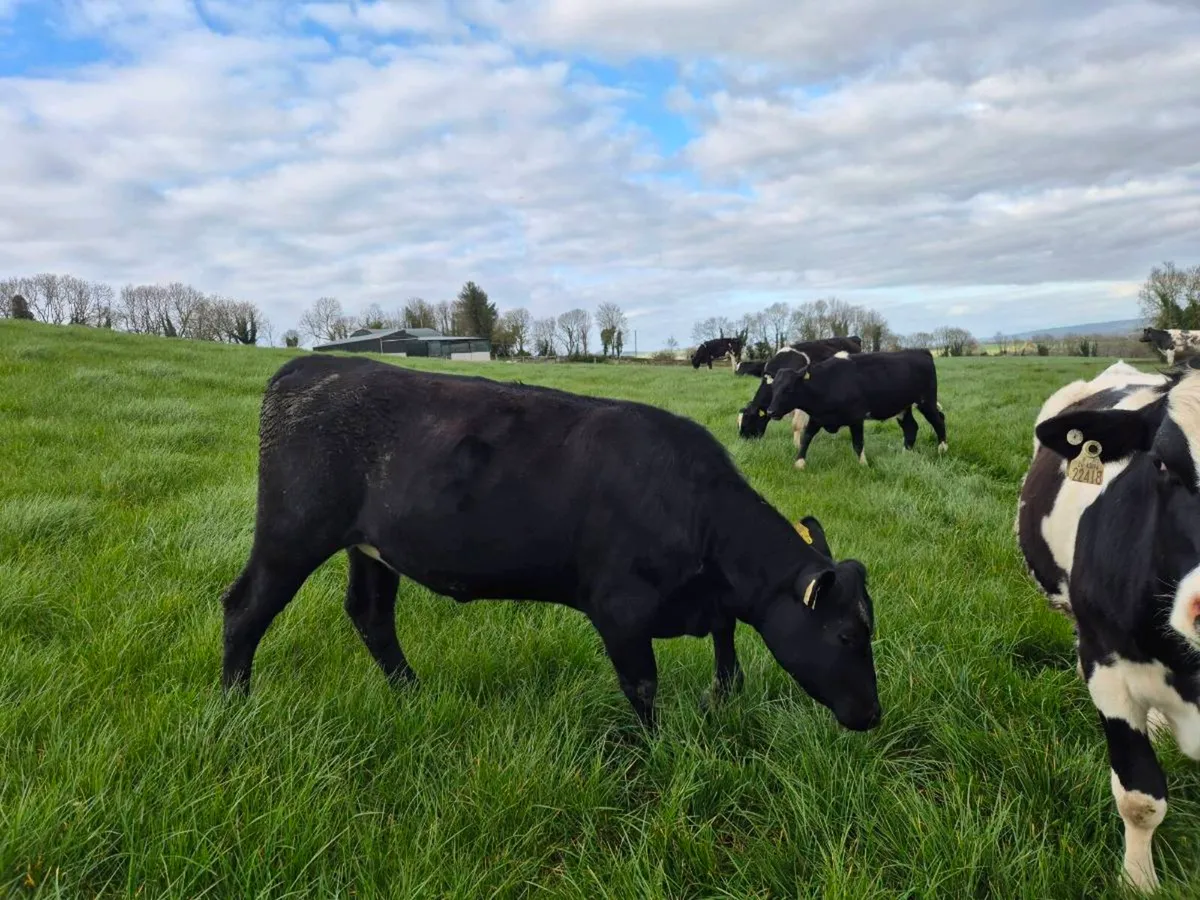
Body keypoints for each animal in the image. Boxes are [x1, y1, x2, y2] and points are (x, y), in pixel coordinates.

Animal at [220, 353, 883, 734]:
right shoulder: (618, 611)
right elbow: (643, 688)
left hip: (370, 546)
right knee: (245, 607)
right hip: (293, 529)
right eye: (846, 636)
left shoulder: (709, 604)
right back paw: (234, 707)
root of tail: (309, 366)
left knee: (370, 613)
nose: (873, 716)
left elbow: (729, 649)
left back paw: (412, 695)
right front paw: (658, 751)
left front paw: (719, 697)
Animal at [763, 348, 947, 470]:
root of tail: (921, 351)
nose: (771, 412)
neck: (828, 383)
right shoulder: (817, 417)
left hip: (926, 401)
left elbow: (858, 443)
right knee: (911, 427)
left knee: (938, 421)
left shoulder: (856, 418)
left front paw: (863, 465)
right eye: (773, 388)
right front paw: (799, 463)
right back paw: (905, 454)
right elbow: (806, 438)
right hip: (903, 407)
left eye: (788, 389)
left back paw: (942, 449)